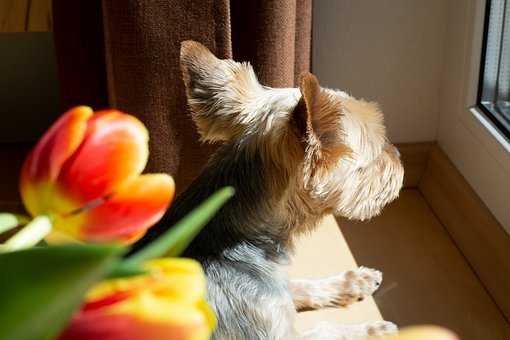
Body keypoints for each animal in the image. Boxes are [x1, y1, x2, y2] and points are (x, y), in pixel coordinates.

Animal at [134, 40, 402, 340]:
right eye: (378, 157)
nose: (400, 156)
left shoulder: (275, 291)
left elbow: (300, 286)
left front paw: (355, 281)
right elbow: (328, 330)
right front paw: (374, 328)